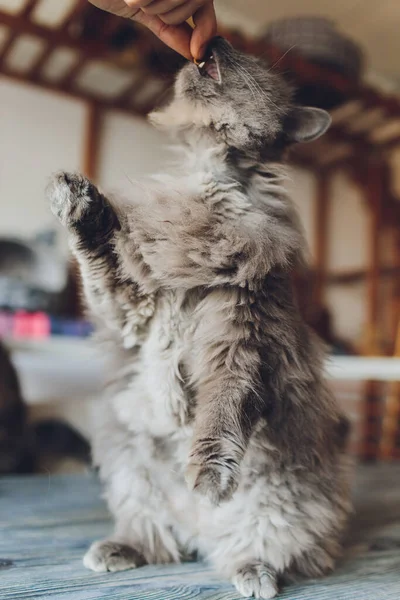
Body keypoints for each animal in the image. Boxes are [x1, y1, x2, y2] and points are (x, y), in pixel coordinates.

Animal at [48, 37, 352, 600]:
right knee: (156, 536)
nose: (214, 41)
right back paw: (119, 549)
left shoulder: (240, 341)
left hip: (286, 505)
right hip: (130, 466)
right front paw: (76, 199)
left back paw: (249, 568)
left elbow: (219, 419)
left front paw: (208, 480)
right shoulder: (132, 307)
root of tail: (198, 534)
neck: (205, 189)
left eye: (249, 60)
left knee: (254, 548)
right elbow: (98, 258)